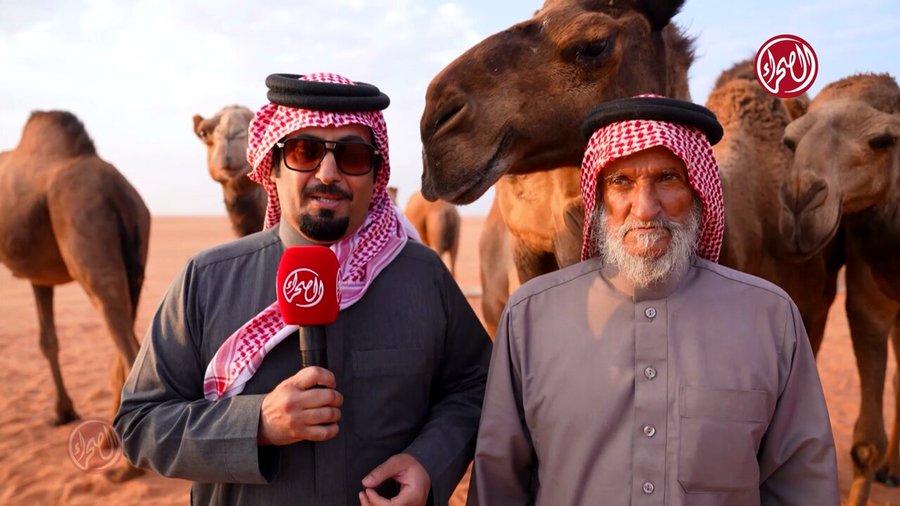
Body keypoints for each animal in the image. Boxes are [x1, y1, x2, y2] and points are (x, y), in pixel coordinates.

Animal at [0, 110, 150, 481]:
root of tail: (119, 193)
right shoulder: (39, 277)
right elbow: (47, 340)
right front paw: (62, 412)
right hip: (135, 259)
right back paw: (109, 441)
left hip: (87, 234)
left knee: (128, 345)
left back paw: (126, 468)